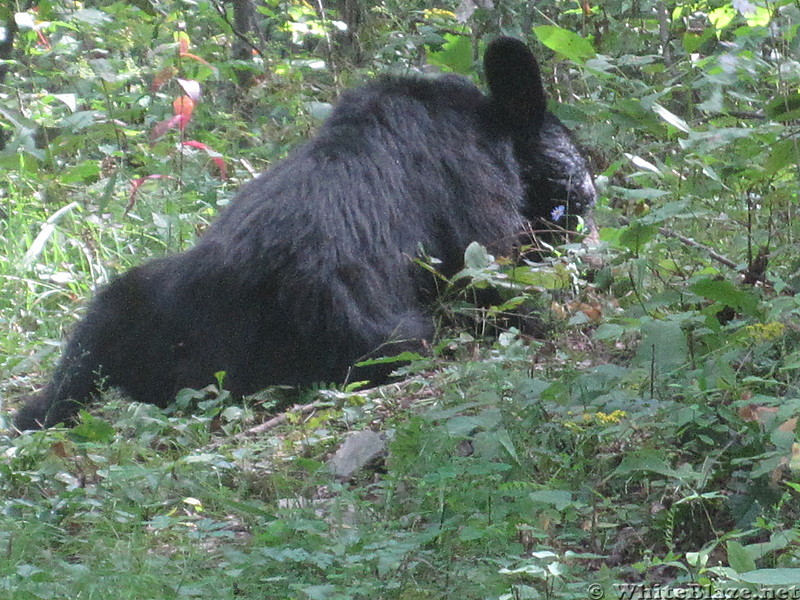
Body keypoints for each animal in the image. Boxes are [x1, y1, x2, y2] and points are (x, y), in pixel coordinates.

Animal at [12, 37, 592, 428]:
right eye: (575, 170)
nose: (588, 203)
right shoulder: (474, 210)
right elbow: (493, 283)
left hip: (124, 303)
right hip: (377, 334)